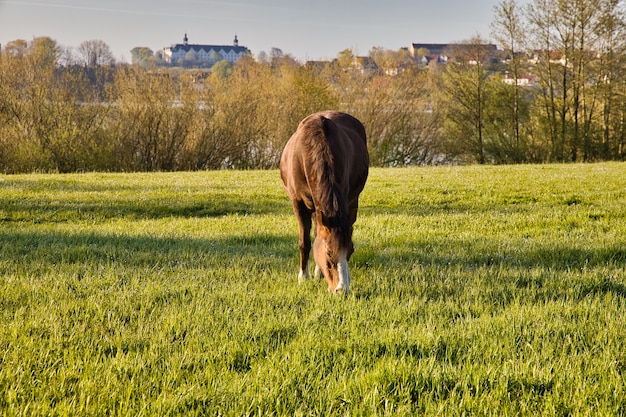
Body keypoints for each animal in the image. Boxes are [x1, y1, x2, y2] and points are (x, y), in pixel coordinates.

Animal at [276, 110, 366, 292]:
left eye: (351, 251)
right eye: (329, 253)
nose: (342, 290)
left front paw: (318, 274)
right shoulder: (298, 203)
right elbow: (305, 241)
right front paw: (303, 277)